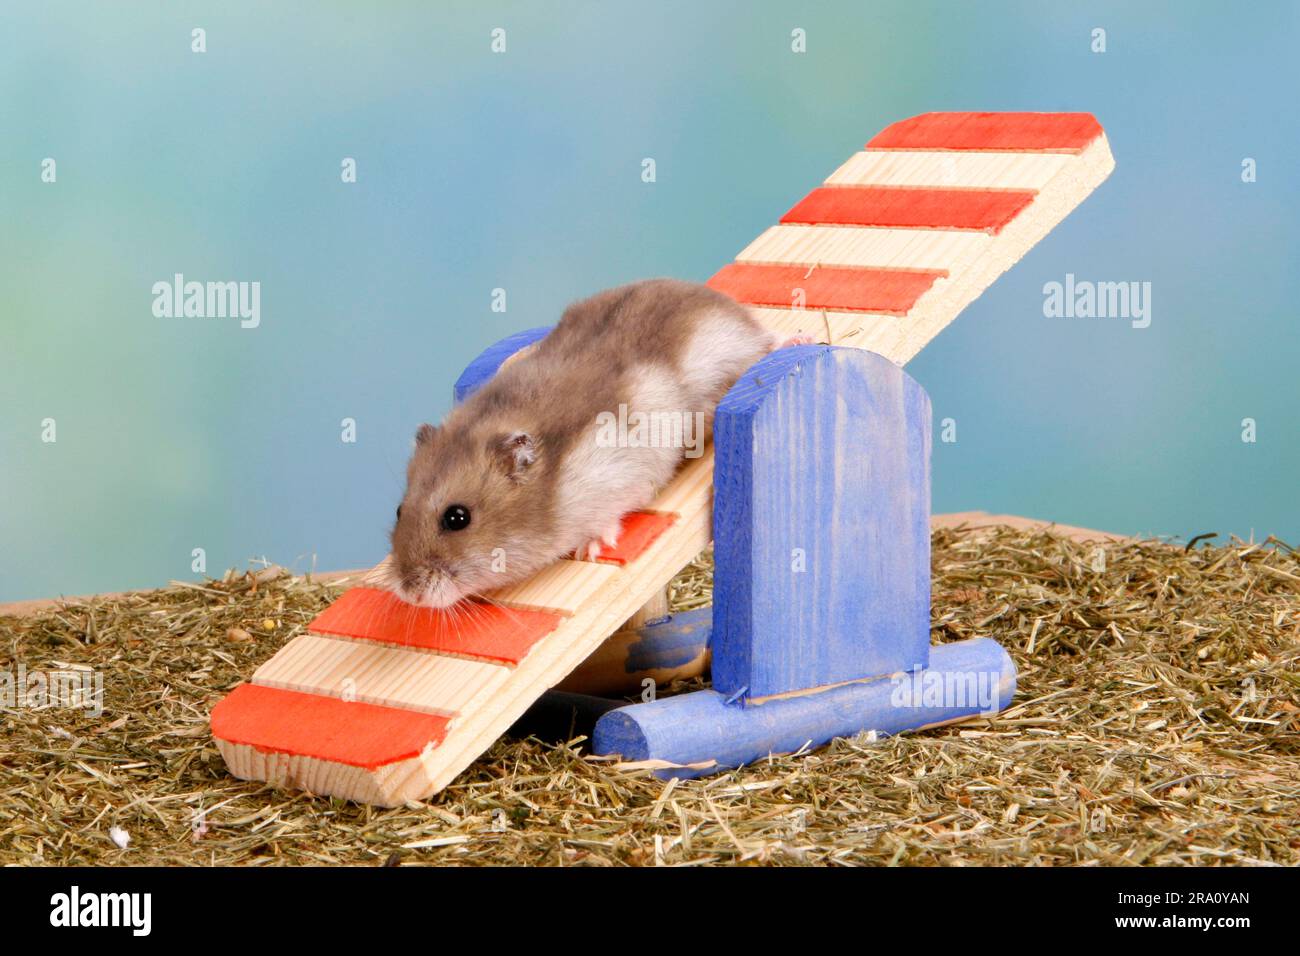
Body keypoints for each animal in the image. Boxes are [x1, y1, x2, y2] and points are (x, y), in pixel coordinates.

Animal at [382, 278, 793, 609]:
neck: (550, 486)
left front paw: (590, 549)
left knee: (767, 342)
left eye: (457, 518)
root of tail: (718, 298)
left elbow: (607, 517)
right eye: (399, 511)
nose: (410, 593)